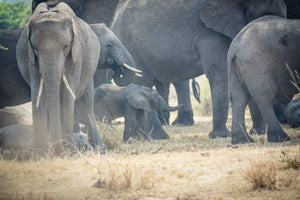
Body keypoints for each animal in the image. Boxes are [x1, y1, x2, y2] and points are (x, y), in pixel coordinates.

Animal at [15, 2, 102, 153]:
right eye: (35, 49)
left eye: (66, 46)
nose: (57, 149)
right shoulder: (30, 58)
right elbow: (38, 94)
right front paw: (41, 153)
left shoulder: (76, 56)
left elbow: (67, 96)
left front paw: (68, 152)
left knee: (86, 105)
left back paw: (99, 149)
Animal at [109, 0, 288, 138]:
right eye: (261, 15)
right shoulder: (210, 32)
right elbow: (219, 73)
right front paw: (221, 136)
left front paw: (258, 132)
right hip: (131, 48)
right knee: (143, 83)